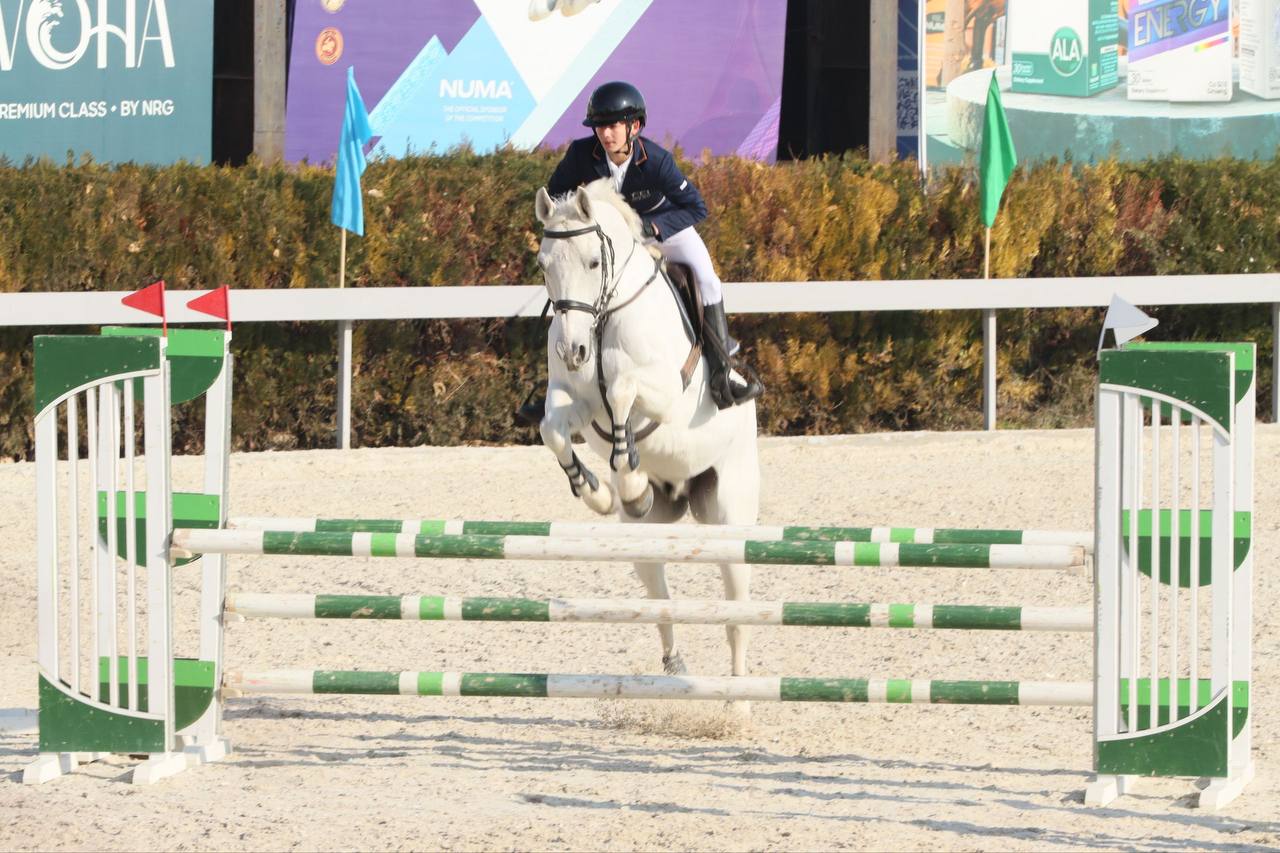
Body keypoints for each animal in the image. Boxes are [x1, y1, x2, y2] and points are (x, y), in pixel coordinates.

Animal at [533, 179, 760, 682]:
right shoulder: (576, 403)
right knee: (660, 594)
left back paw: (738, 693)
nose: (573, 351)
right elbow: (551, 429)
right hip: (645, 537)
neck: (601, 319)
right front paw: (600, 492)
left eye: (593, 262)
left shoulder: (666, 394)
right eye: (543, 264)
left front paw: (630, 479)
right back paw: (673, 662)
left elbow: (622, 387)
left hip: (730, 516)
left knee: (737, 613)